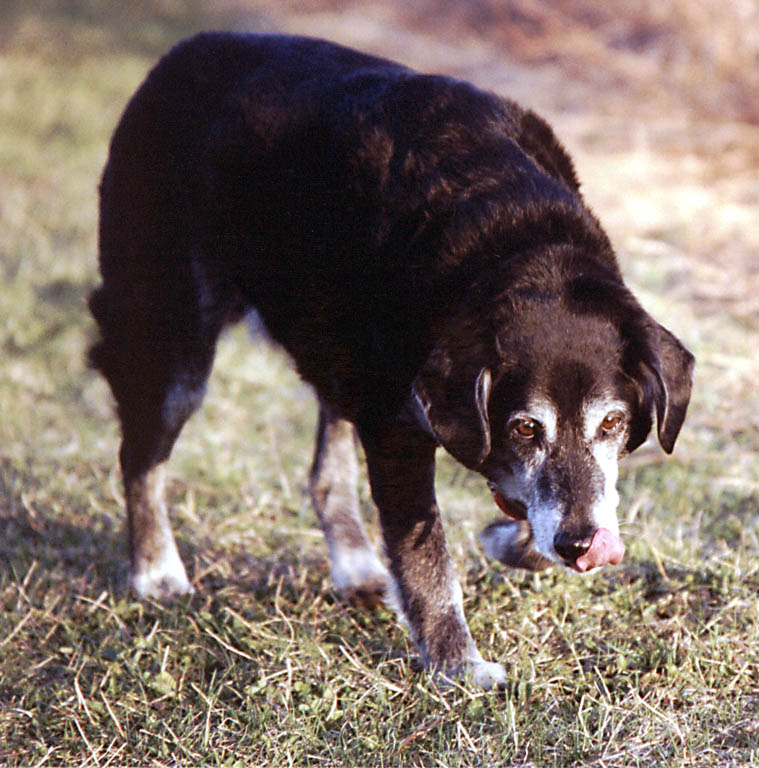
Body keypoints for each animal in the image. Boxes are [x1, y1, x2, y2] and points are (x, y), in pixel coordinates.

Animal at [90, 33, 696, 688]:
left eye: (612, 422)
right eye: (524, 427)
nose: (581, 546)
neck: (511, 238)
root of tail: (181, 52)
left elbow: (548, 508)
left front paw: (508, 540)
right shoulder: (397, 429)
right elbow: (427, 558)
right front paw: (457, 666)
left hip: (329, 351)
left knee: (325, 472)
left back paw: (355, 567)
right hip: (173, 343)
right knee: (140, 457)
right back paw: (156, 571)